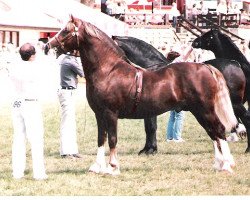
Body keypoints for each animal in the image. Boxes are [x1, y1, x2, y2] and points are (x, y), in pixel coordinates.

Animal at [112, 34, 248, 153]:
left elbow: (151, 128)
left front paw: (150, 150)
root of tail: (235, 63)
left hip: (234, 104)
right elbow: (149, 128)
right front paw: (149, 148)